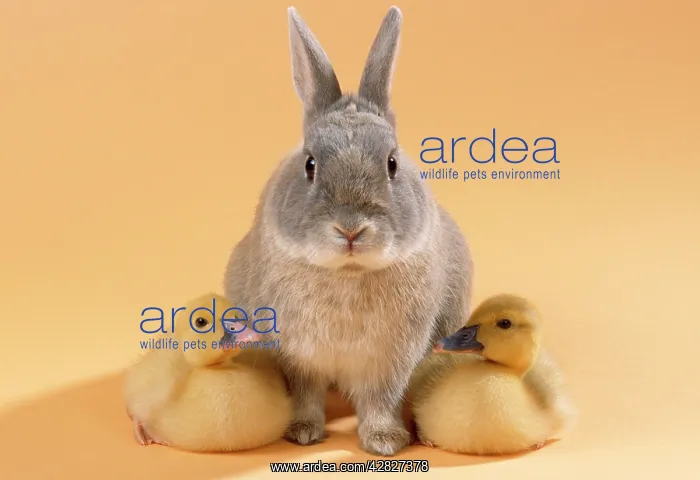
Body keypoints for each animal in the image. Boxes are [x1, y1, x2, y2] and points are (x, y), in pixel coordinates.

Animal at [223, 6, 474, 457]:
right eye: (310, 164)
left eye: (392, 163)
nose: (351, 229)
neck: (347, 273)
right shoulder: (297, 357)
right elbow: (305, 393)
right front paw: (302, 432)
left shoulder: (390, 361)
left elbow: (380, 399)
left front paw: (385, 441)